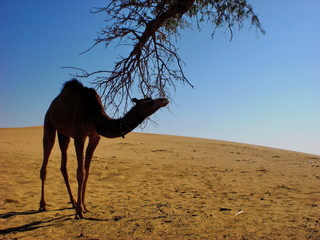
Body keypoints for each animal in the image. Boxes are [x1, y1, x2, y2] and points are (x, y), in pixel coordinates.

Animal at [39, 79, 170, 219]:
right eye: (148, 100)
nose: (165, 99)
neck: (94, 116)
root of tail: (53, 104)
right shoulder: (79, 136)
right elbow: (80, 173)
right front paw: (79, 212)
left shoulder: (95, 136)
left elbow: (87, 172)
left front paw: (84, 206)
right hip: (48, 120)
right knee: (47, 151)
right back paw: (42, 205)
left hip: (64, 134)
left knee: (63, 162)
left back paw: (73, 202)